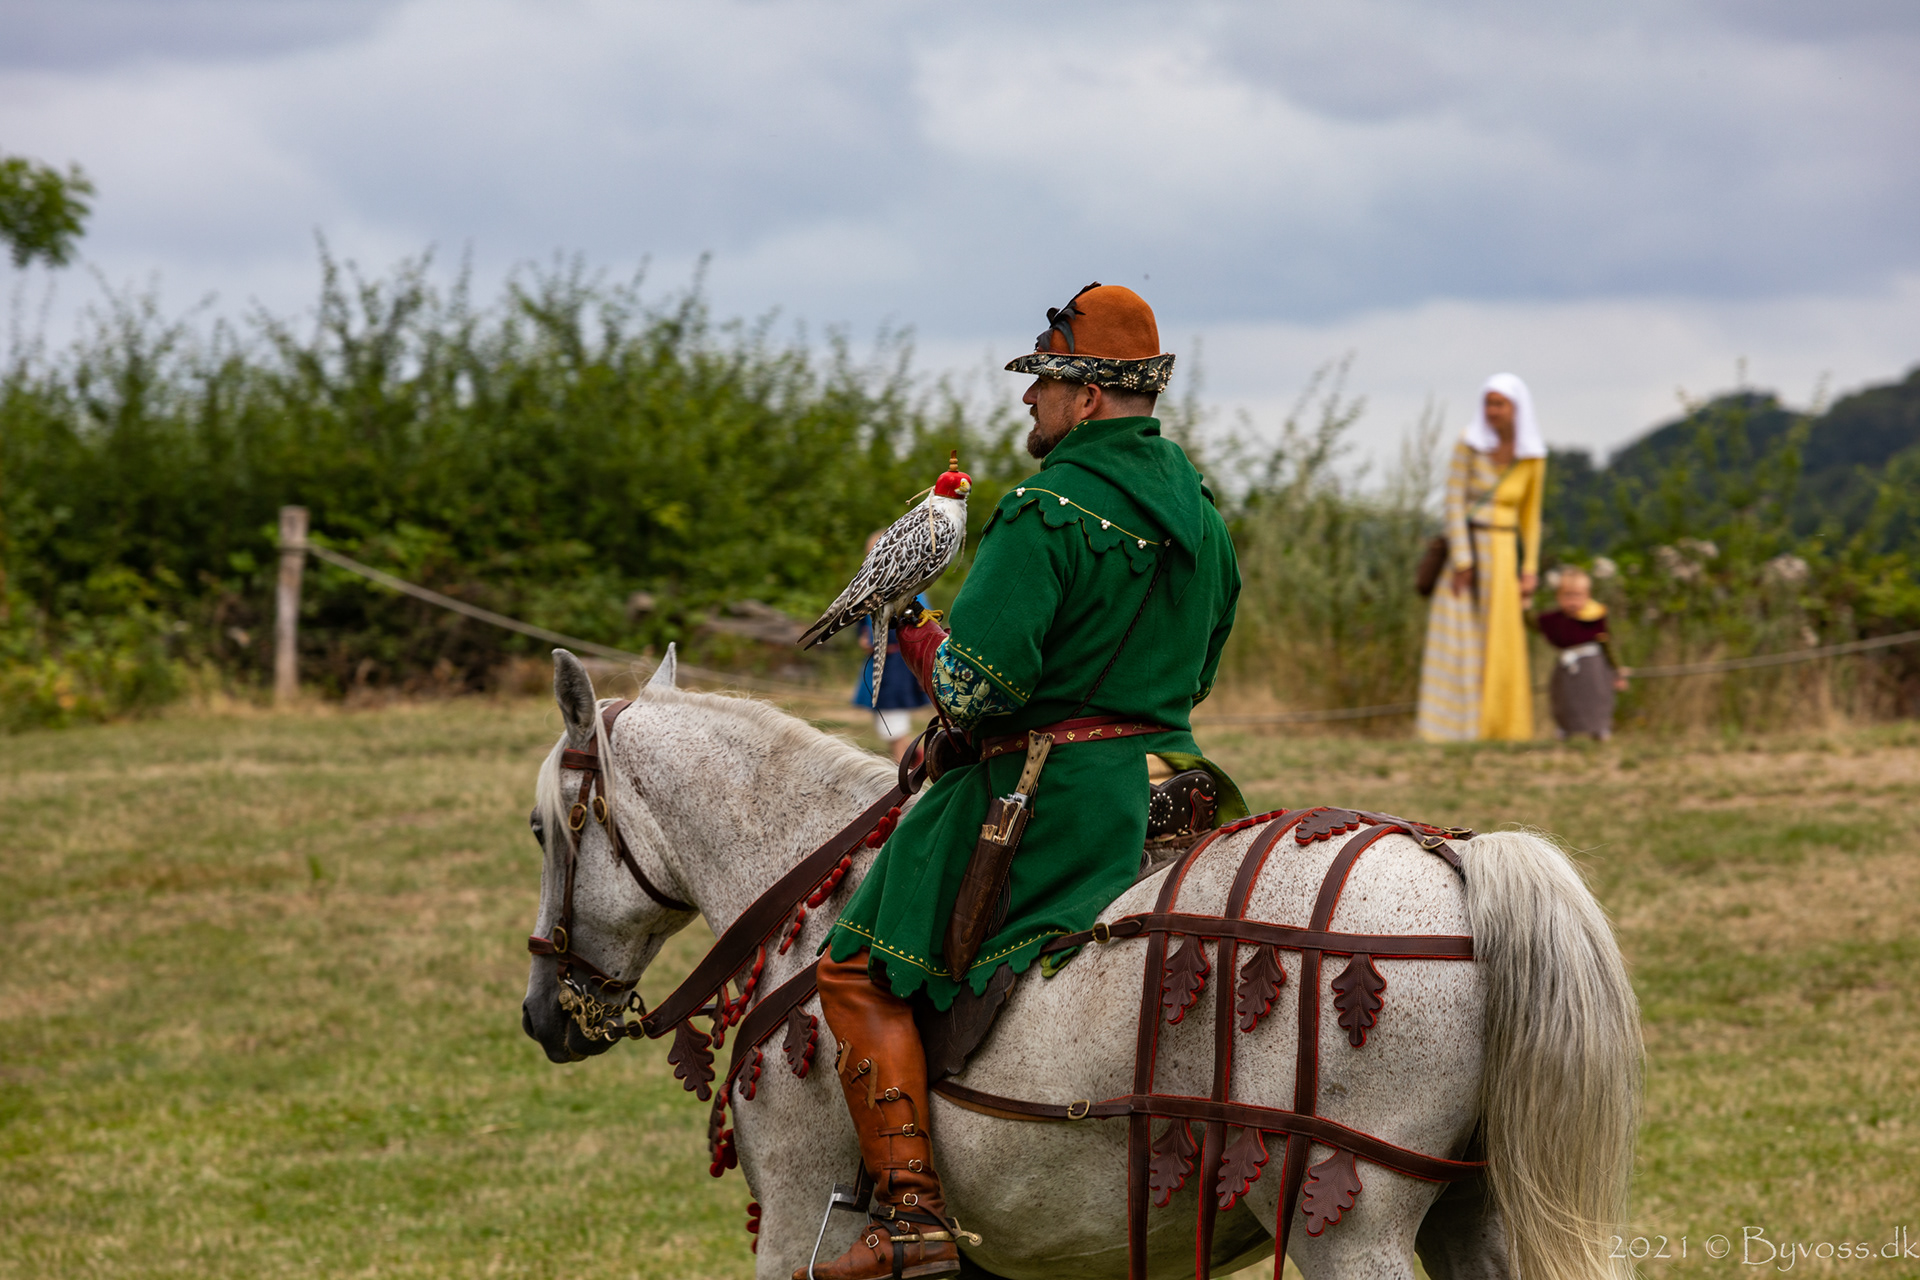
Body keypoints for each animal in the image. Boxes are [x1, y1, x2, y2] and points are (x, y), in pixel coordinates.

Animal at [521, 650, 1640, 1280]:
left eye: (539, 829)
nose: (543, 1013)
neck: (808, 872)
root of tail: (1456, 863)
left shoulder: (803, 1216)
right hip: (1474, 1212)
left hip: (1346, 1230)